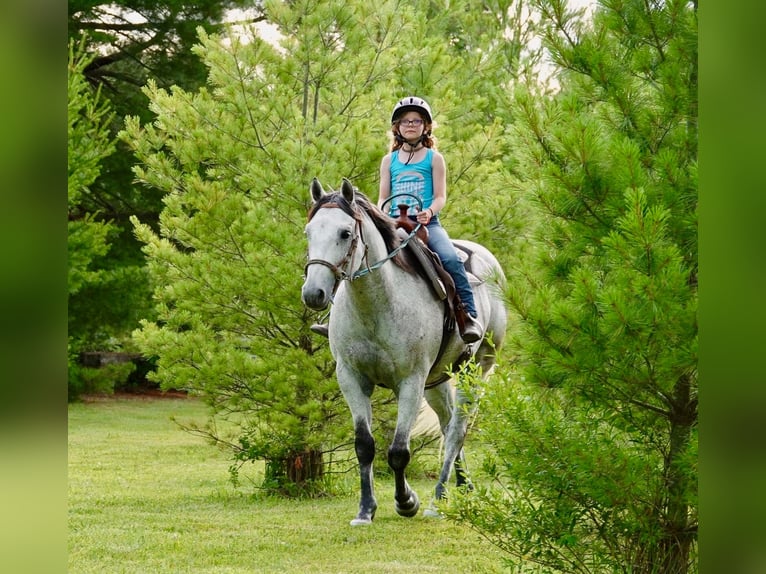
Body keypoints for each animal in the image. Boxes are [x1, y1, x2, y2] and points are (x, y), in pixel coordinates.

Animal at [301, 178, 507, 526]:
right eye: (309, 232)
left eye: (345, 233)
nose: (313, 293)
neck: (377, 304)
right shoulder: (351, 378)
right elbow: (364, 445)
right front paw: (366, 509)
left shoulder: (410, 381)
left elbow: (399, 450)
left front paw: (406, 501)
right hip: (438, 380)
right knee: (447, 423)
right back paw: (461, 487)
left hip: (476, 371)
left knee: (457, 430)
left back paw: (437, 500)